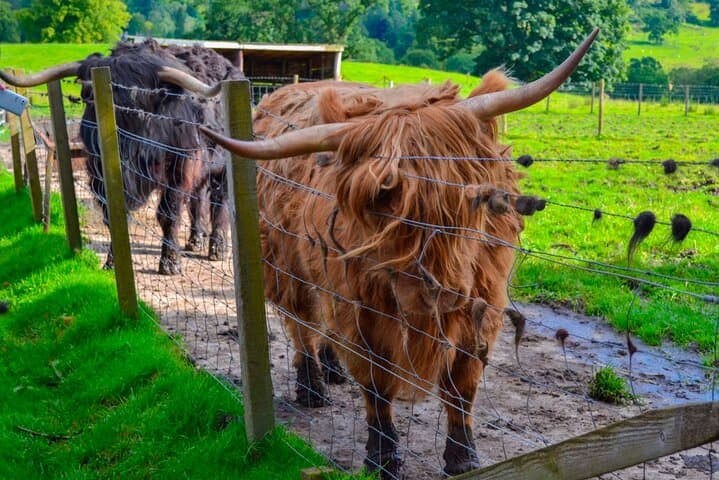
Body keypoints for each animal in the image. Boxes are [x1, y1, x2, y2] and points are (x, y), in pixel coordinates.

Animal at [0, 40, 241, 274]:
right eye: (90, 96)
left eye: (138, 101)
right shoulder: (99, 172)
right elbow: (115, 215)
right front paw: (113, 261)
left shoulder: (180, 168)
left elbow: (169, 213)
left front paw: (170, 262)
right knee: (197, 199)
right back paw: (195, 240)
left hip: (221, 167)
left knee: (219, 202)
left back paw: (217, 247)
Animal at [202, 29, 598, 478]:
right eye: (381, 199)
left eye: (468, 197)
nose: (438, 292)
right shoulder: (361, 312)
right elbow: (375, 384)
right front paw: (383, 458)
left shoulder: (482, 305)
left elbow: (463, 385)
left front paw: (463, 457)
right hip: (286, 266)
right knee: (303, 323)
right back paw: (312, 387)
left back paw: (332, 371)